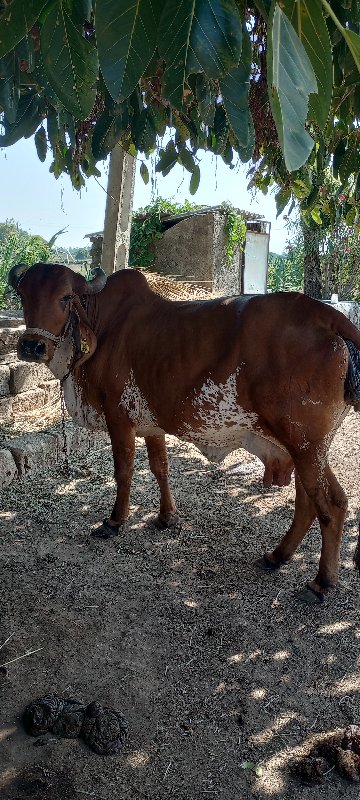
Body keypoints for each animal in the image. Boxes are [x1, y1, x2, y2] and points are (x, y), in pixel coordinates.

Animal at [8, 260, 360, 600]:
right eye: (22, 295)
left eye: (66, 297)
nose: (31, 346)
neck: (102, 323)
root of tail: (328, 316)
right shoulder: (151, 423)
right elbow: (160, 467)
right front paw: (167, 517)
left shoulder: (118, 417)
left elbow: (124, 471)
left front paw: (115, 520)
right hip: (304, 448)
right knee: (316, 503)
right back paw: (278, 556)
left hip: (305, 444)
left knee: (328, 505)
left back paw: (321, 583)